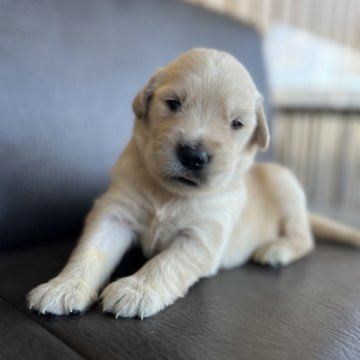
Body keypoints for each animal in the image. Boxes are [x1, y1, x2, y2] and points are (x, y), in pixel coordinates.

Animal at [28, 47, 360, 318]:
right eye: (173, 104)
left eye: (236, 124)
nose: (193, 155)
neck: (169, 193)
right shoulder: (114, 213)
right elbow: (89, 251)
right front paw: (63, 287)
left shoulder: (202, 237)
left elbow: (166, 263)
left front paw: (136, 290)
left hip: (285, 182)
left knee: (305, 239)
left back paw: (276, 250)